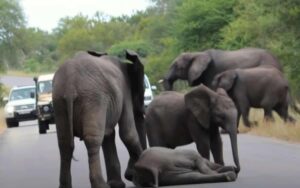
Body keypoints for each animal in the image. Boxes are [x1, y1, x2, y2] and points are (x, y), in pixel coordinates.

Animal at [53, 50, 146, 188]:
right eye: (143, 89)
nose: (129, 175)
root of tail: (70, 86)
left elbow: (109, 135)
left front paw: (117, 184)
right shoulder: (125, 91)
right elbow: (128, 133)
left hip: (59, 102)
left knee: (64, 143)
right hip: (93, 99)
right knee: (93, 140)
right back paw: (101, 185)